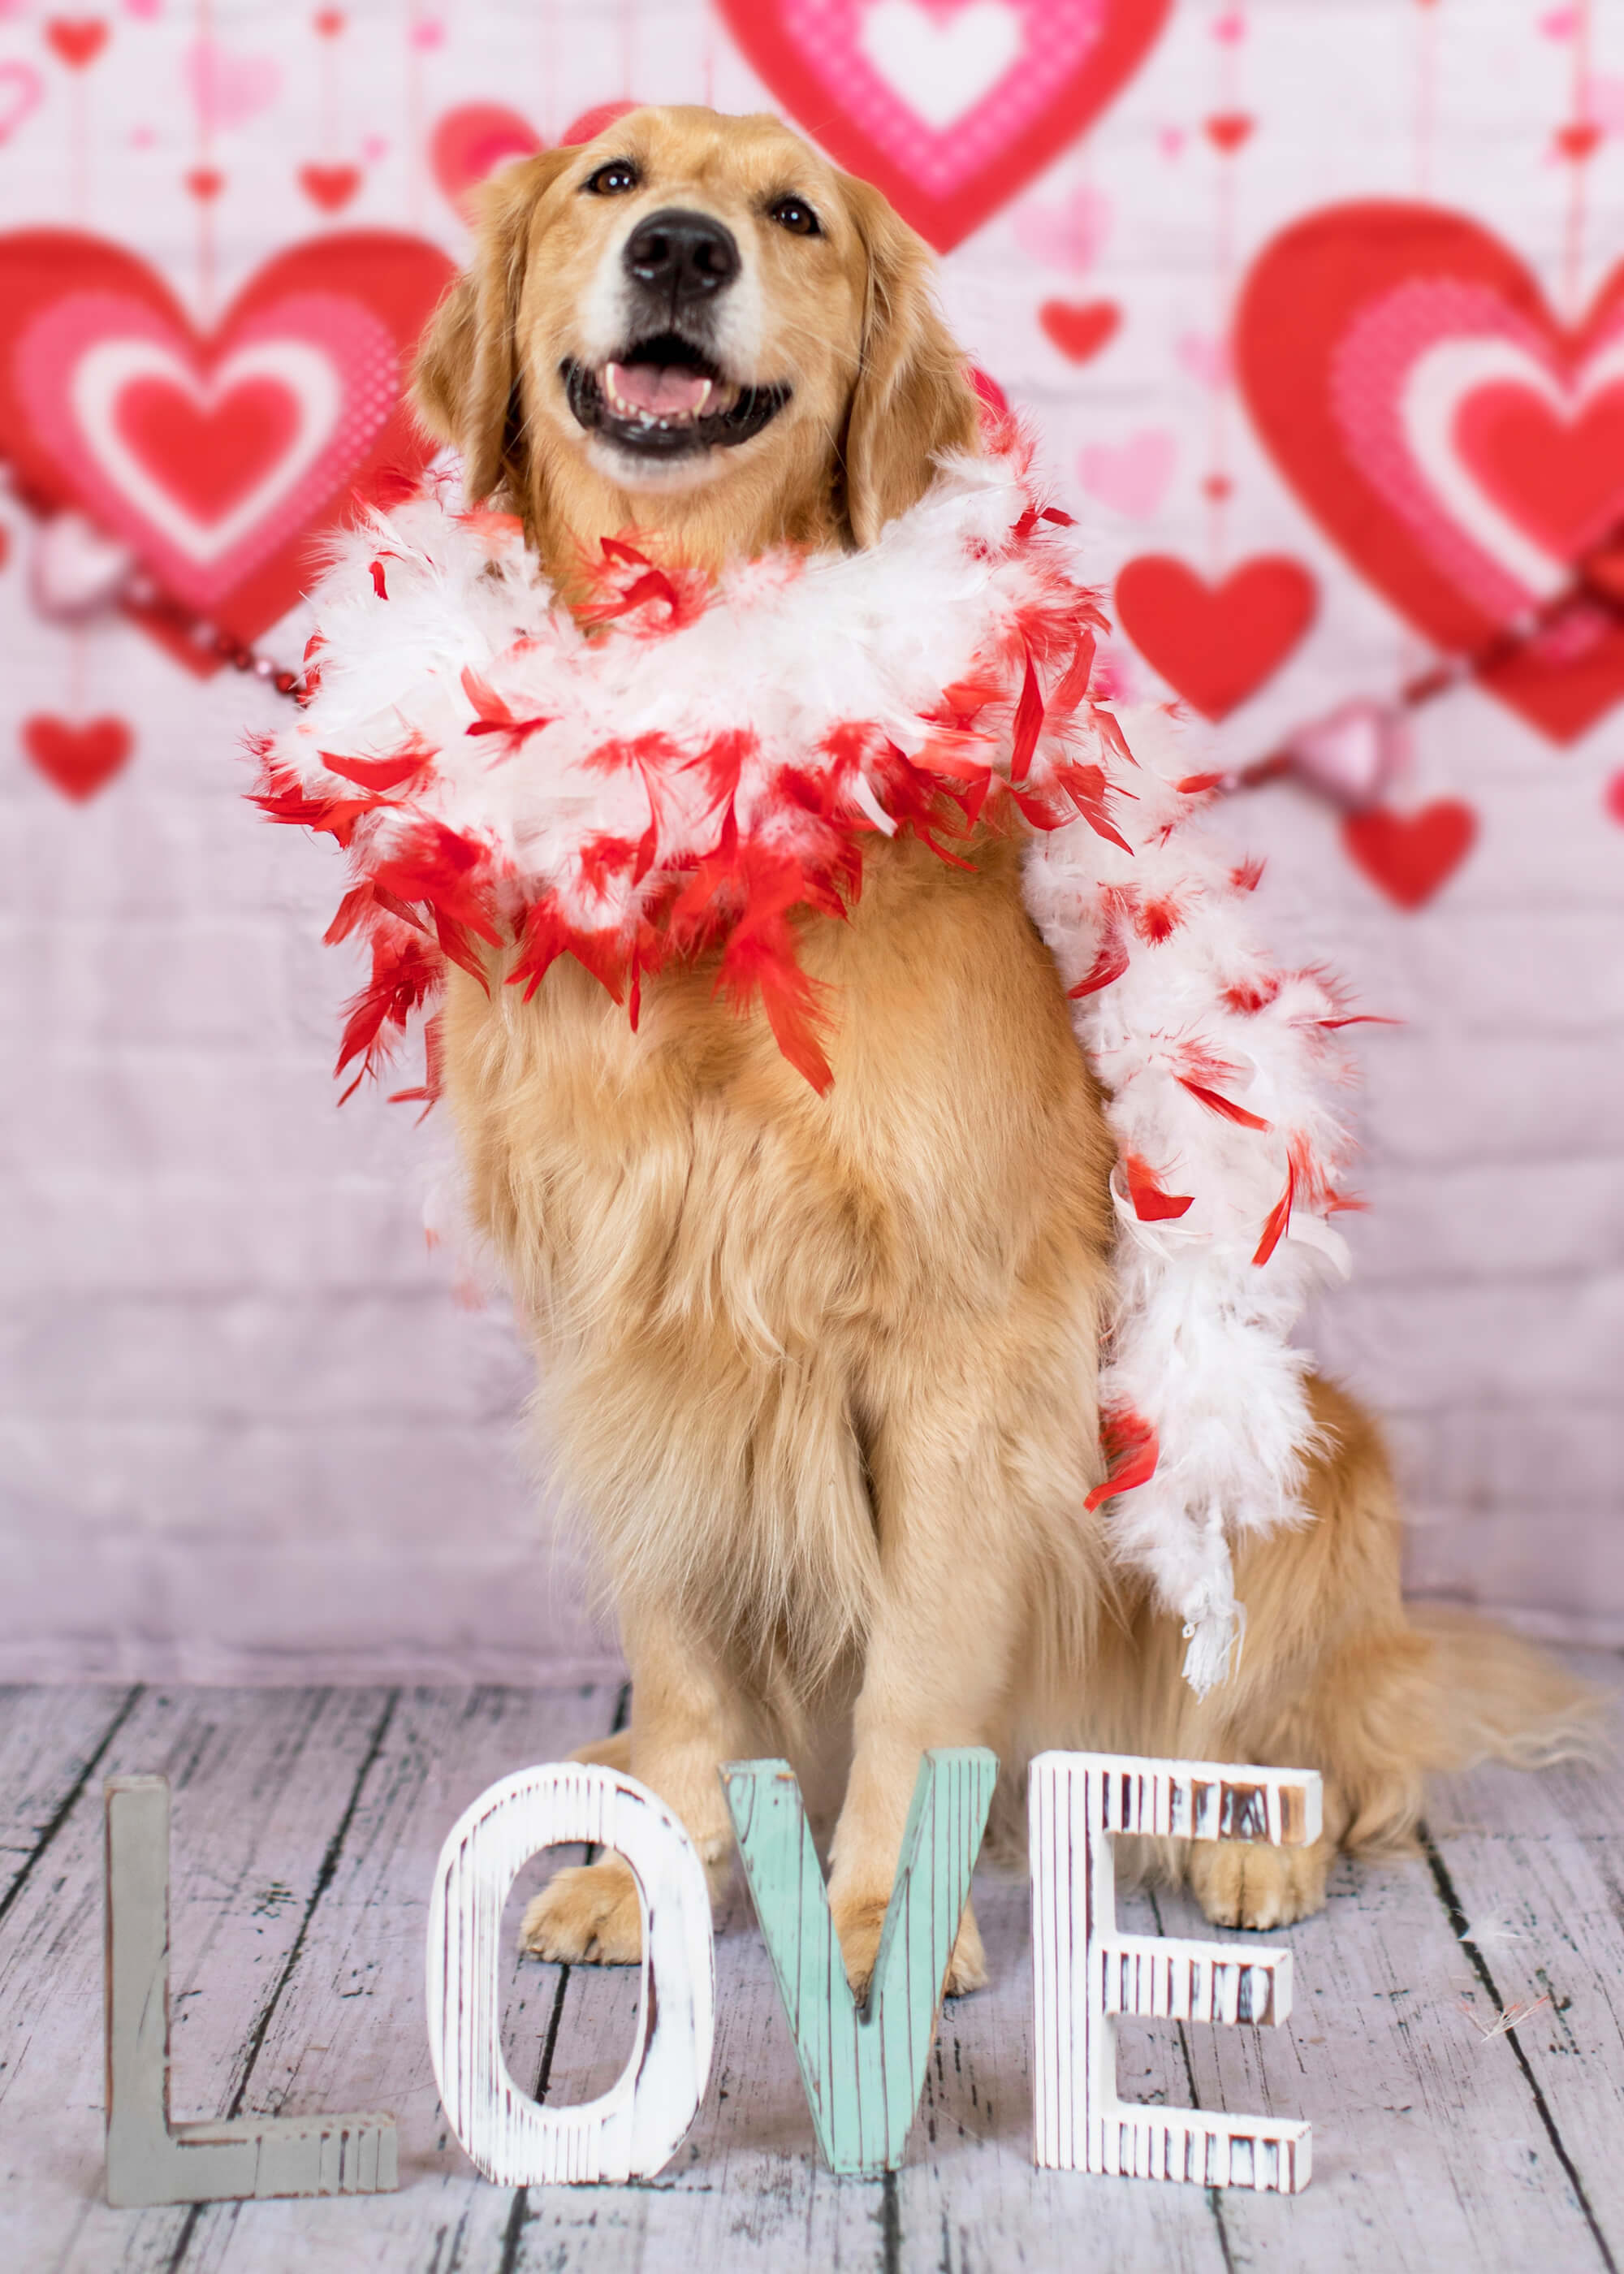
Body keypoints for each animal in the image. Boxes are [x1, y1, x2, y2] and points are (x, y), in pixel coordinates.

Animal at [412, 106, 1592, 1991]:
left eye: (794, 213)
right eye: (611, 180)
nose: (680, 249)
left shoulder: (966, 1334)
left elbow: (918, 1669)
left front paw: (879, 1922)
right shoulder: (620, 1325)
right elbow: (684, 1651)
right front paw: (668, 1863)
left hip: (1304, 1460)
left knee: (1330, 1741)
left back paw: (1253, 1837)